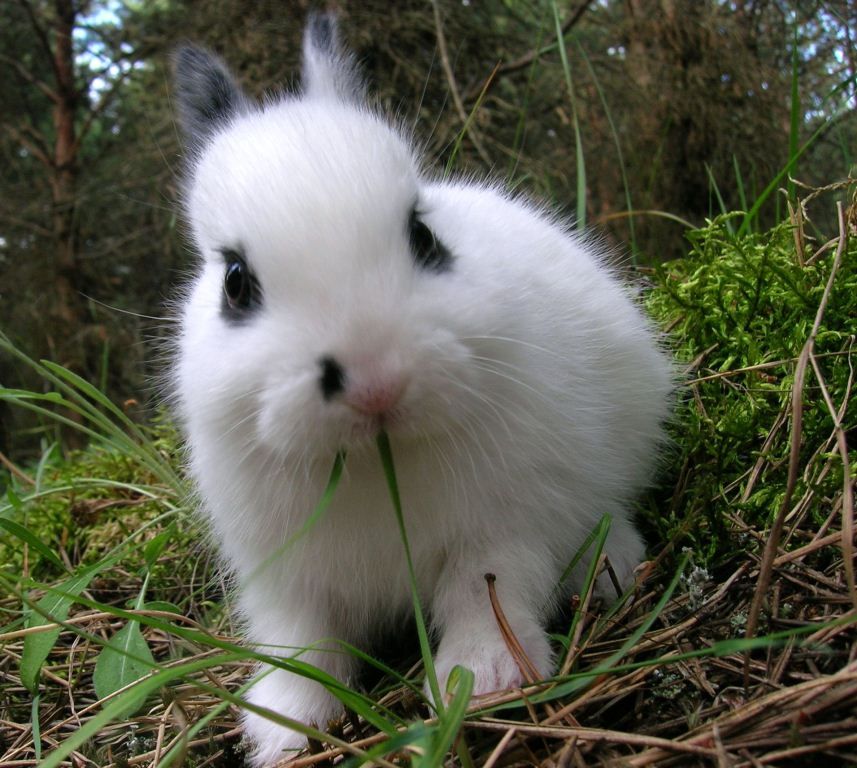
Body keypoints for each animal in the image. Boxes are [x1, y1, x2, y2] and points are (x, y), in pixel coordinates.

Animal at [171, 13, 672, 768]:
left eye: (423, 235)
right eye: (235, 283)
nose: (375, 380)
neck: (377, 461)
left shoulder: (506, 524)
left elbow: (485, 591)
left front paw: (484, 678)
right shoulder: (283, 573)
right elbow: (301, 640)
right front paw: (283, 726)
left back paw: (609, 566)